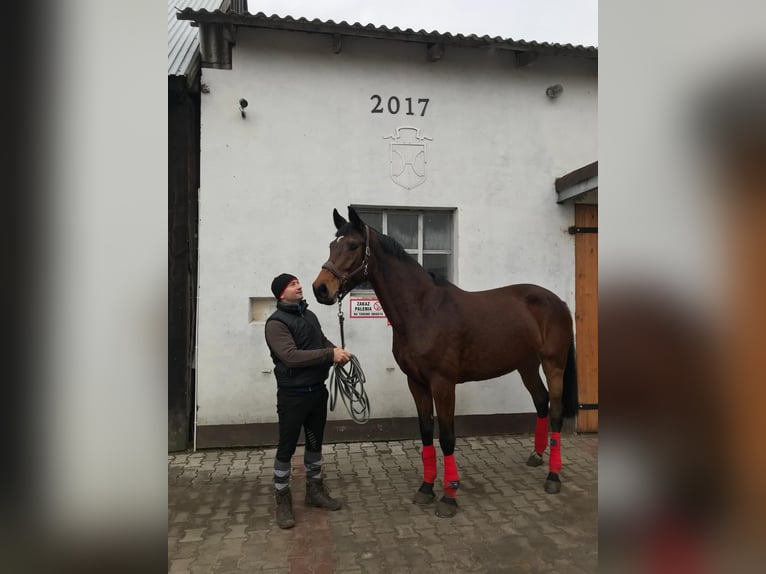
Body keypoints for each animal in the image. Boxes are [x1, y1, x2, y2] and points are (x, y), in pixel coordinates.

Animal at [312, 206, 576, 516]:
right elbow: (426, 433)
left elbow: (448, 437)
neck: (423, 310)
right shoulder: (416, 383)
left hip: (553, 364)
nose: (320, 289)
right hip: (526, 365)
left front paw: (449, 497)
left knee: (556, 410)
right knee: (541, 401)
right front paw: (426, 488)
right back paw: (536, 455)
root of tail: (558, 302)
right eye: (332, 245)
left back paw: (553, 476)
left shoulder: (443, 383)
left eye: (353, 245)